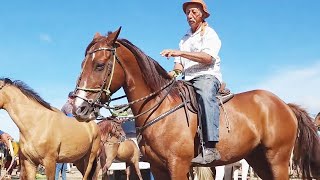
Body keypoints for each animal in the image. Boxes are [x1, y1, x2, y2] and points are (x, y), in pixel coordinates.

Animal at [70, 28, 320, 179]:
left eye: (100, 65)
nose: (79, 108)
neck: (160, 109)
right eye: (83, 64)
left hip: (278, 159)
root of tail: (285, 105)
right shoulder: (157, 167)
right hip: (258, 159)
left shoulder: (179, 165)